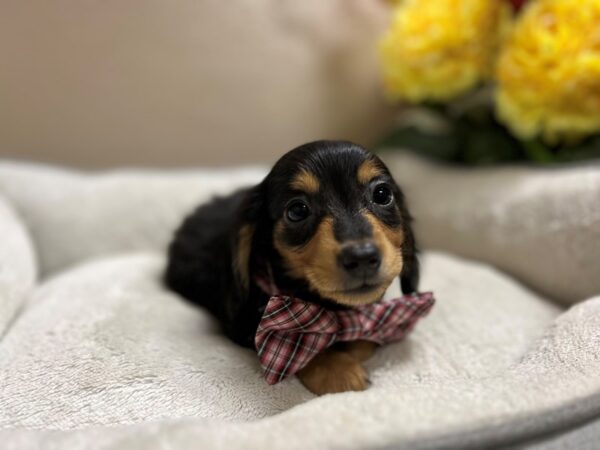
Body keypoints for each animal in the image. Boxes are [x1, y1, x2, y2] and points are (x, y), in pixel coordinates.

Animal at [163, 140, 418, 394]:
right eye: (297, 210)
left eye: (382, 194)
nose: (362, 257)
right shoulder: (246, 325)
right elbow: (304, 344)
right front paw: (338, 369)